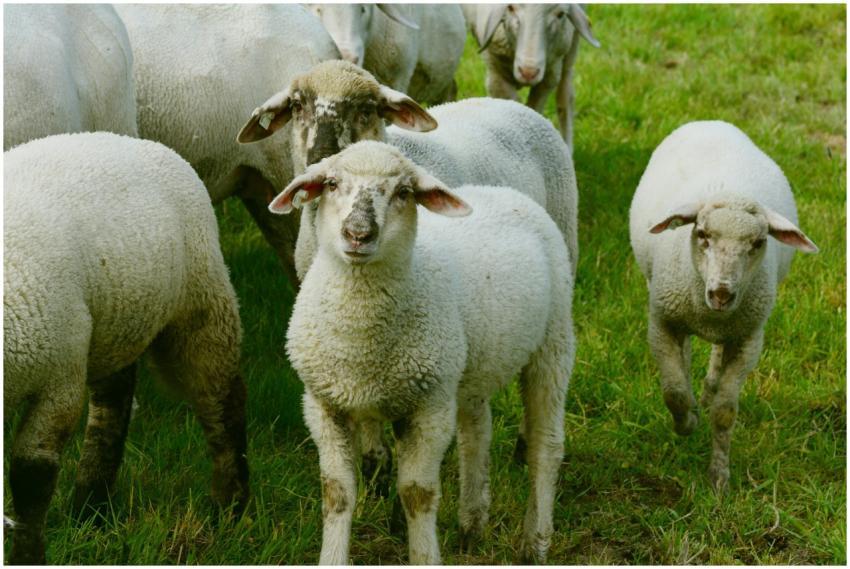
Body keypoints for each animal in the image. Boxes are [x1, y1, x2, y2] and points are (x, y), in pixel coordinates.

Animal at [3, 132, 248, 564]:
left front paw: (27, 557)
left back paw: (229, 507)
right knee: (113, 405)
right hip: (116, 319)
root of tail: (135, 141)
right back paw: (91, 506)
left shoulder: (59, 382)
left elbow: (31, 477)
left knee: (222, 400)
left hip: (201, 301)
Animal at [271, 141, 574, 564]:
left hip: (553, 340)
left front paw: (424, 555)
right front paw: (332, 557)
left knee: (546, 445)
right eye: (331, 183)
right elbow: (337, 492)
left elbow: (417, 495)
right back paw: (472, 522)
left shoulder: (429, 408)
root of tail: (506, 193)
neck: (360, 343)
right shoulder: (324, 405)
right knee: (476, 432)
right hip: (469, 365)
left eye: (403, 192)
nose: (358, 234)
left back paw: (535, 543)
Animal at [463, 3, 600, 150]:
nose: (528, 72)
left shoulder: (550, 74)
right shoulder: (496, 73)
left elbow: (534, 110)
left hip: (571, 44)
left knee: (565, 94)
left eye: (560, 14)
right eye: (510, 8)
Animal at [629, 120, 819, 492]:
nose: (721, 294)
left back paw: (707, 389)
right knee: (686, 355)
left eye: (758, 243)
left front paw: (719, 478)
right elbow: (673, 391)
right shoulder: (661, 323)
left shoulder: (748, 339)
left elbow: (725, 411)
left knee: (716, 357)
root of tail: (712, 122)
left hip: (734, 326)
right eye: (701, 234)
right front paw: (686, 423)